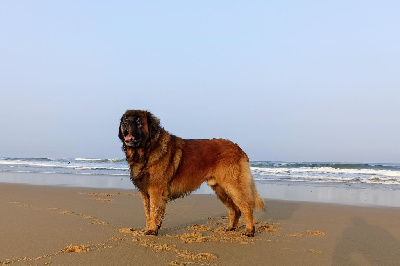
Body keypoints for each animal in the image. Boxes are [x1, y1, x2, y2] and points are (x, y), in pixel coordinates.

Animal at [117, 110, 264, 237]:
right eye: (124, 119)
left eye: (137, 120)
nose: (125, 123)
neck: (147, 150)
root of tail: (238, 148)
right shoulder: (145, 192)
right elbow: (148, 213)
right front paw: (148, 229)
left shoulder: (156, 190)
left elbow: (154, 211)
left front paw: (152, 230)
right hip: (221, 190)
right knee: (235, 209)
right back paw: (230, 228)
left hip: (232, 186)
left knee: (246, 207)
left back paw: (249, 231)